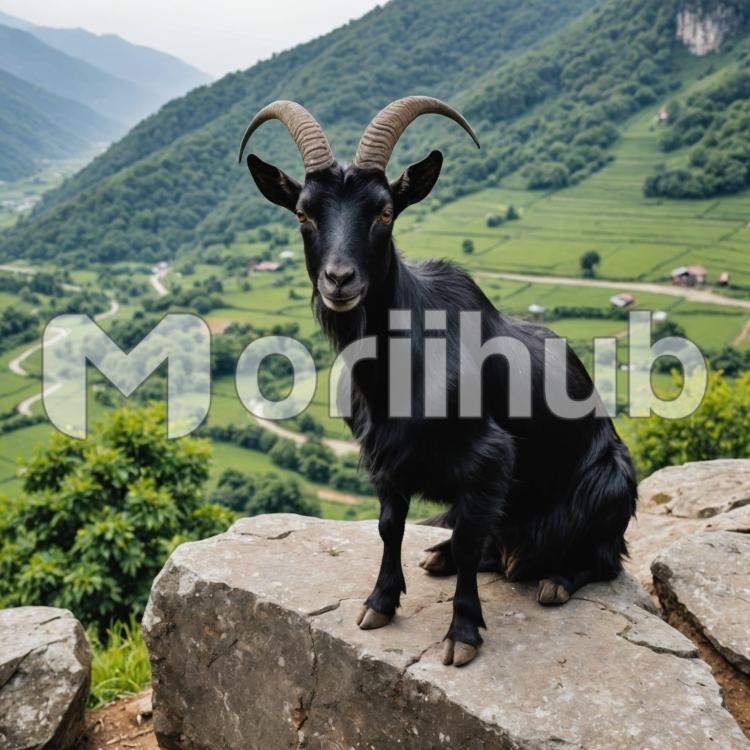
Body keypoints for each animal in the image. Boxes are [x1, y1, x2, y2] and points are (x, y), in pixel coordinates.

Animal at [239, 97, 637, 667]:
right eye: (303, 213)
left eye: (384, 212)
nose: (339, 279)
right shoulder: (384, 459)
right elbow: (390, 527)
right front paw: (379, 603)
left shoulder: (487, 462)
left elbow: (471, 538)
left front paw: (463, 632)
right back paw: (440, 556)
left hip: (611, 486)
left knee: (605, 556)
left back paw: (557, 580)